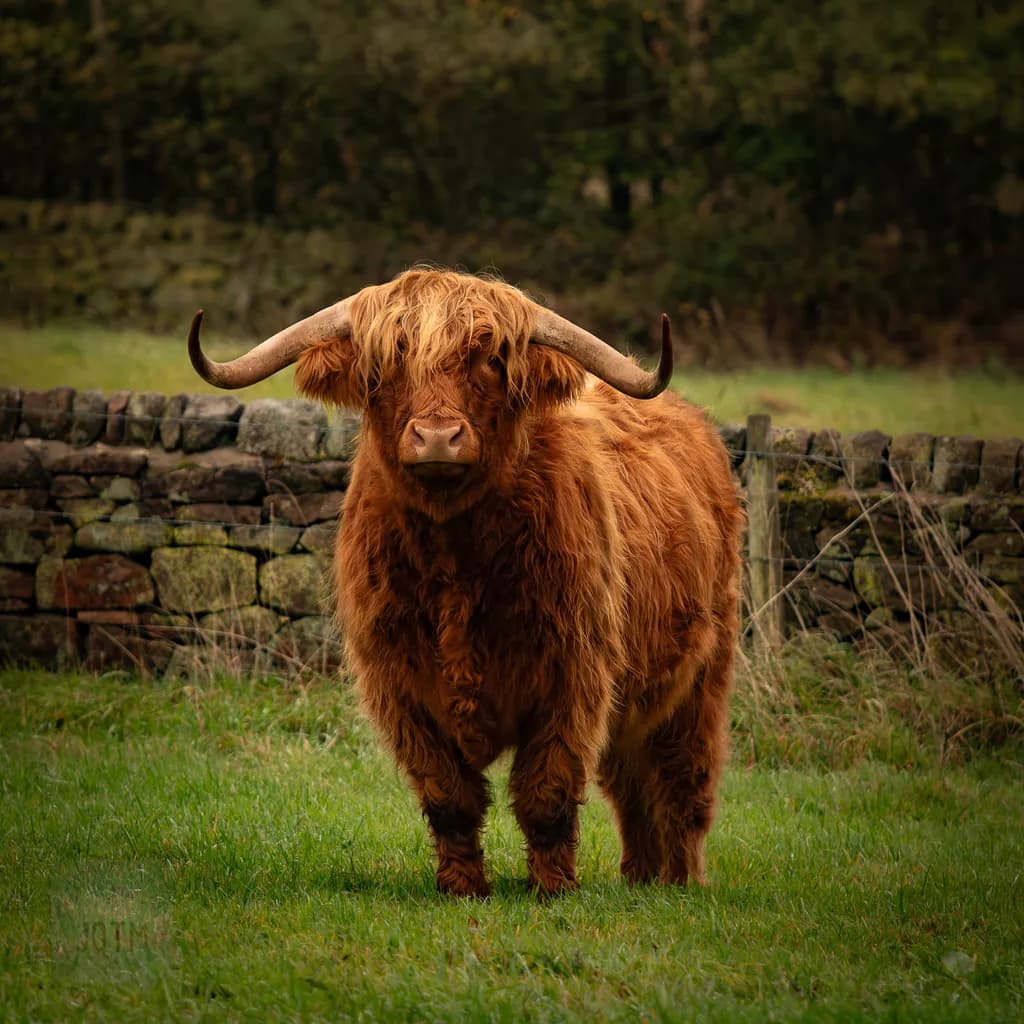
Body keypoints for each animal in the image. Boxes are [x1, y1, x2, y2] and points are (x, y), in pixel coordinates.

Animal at [188, 268, 743, 898]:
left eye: (491, 360)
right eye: (387, 362)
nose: (436, 437)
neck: (455, 559)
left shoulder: (574, 675)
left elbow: (547, 791)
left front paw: (553, 889)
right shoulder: (401, 685)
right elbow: (449, 796)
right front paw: (462, 887)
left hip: (701, 678)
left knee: (683, 780)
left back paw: (680, 879)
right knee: (631, 782)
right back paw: (642, 877)